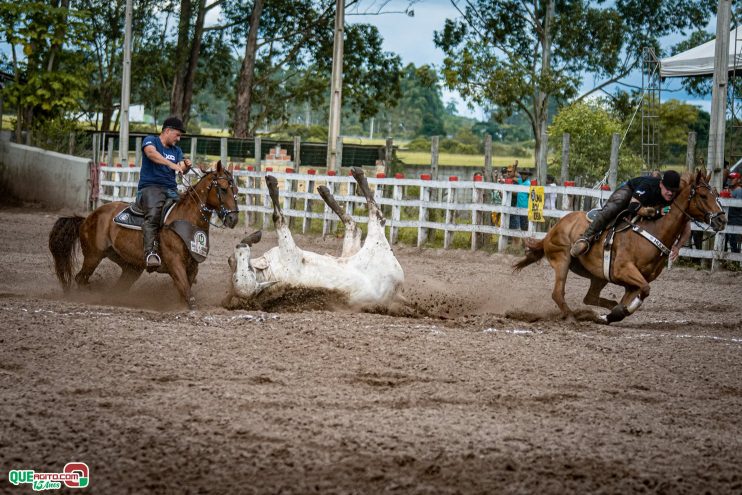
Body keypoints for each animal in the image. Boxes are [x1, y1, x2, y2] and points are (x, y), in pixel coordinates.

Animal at [48, 163, 238, 308]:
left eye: (235, 189)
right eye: (223, 189)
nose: (233, 218)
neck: (185, 218)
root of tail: (87, 218)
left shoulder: (192, 266)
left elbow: (184, 292)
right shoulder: (175, 262)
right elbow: (187, 293)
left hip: (131, 267)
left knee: (117, 287)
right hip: (93, 256)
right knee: (80, 278)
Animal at [230, 169, 406, 308]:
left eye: (246, 267)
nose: (239, 247)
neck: (272, 272)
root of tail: (397, 288)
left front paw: (252, 237)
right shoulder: (289, 250)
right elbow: (278, 218)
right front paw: (272, 185)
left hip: (352, 250)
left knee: (355, 225)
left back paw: (327, 193)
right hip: (375, 240)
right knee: (373, 217)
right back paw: (356, 176)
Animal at [516, 170, 728, 326]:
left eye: (717, 194)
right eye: (703, 195)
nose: (721, 220)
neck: (656, 231)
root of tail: (553, 229)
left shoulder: (632, 282)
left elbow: (638, 295)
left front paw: (611, 314)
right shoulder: (624, 270)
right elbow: (645, 290)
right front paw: (614, 313)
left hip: (599, 276)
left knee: (589, 298)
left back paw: (595, 312)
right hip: (562, 260)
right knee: (558, 294)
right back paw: (571, 316)